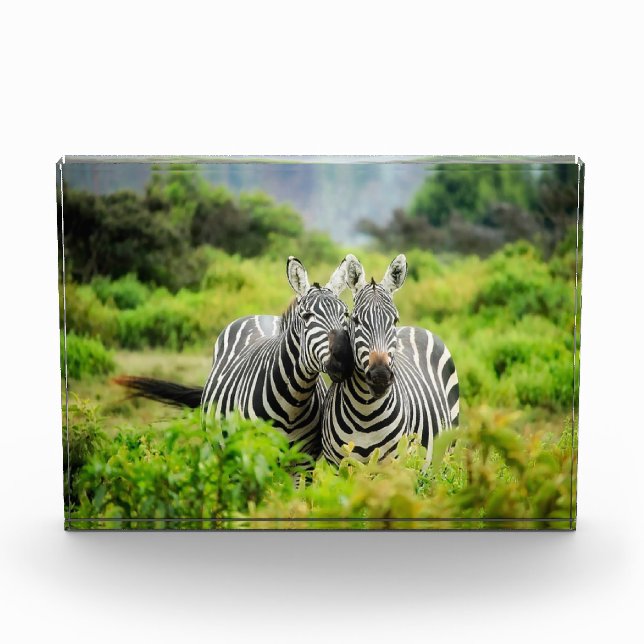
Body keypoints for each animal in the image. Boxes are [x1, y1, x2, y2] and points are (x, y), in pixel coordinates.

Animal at [116, 256, 354, 459]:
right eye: (307, 316)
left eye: (345, 314)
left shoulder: (303, 462)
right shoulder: (253, 455)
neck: (294, 402)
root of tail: (260, 315)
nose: (344, 359)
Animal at [321, 254, 459, 465]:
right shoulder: (337, 465)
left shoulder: (393, 464)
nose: (380, 377)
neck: (365, 414)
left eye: (395, 320)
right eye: (356, 320)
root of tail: (416, 328)